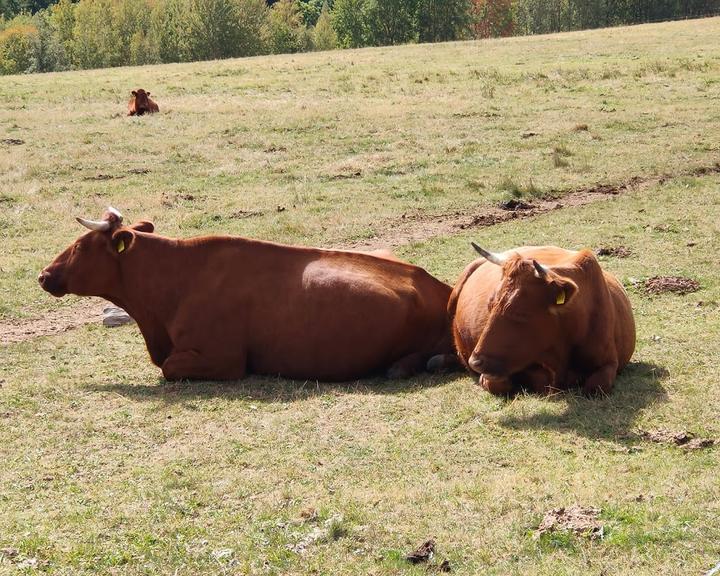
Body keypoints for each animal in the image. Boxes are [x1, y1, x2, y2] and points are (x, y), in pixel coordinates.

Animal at [448, 243, 640, 396]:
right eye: (490, 305)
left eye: (521, 313)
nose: (475, 362)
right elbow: (499, 382)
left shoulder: (609, 362)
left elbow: (596, 386)